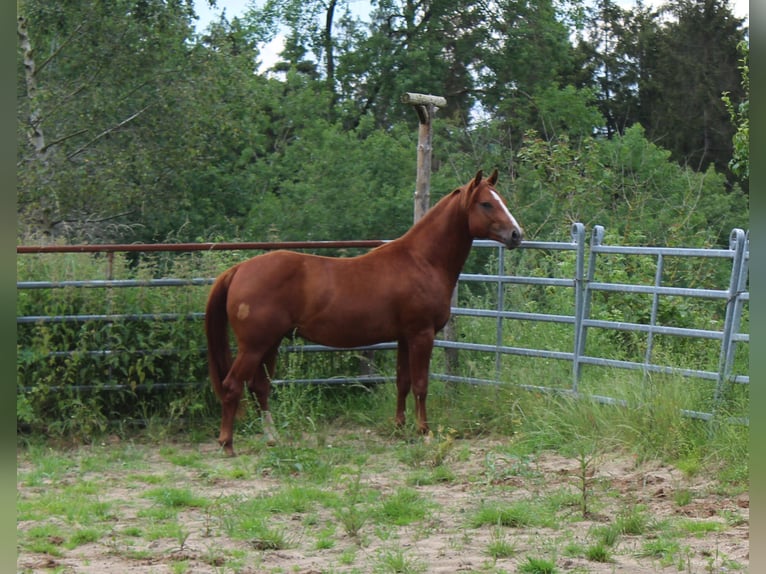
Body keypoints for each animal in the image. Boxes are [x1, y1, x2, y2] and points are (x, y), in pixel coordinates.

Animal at [207, 169, 524, 456]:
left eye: (502, 200)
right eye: (486, 203)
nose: (516, 234)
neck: (422, 261)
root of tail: (239, 270)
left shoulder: (404, 337)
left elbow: (402, 382)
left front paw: (399, 427)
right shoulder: (421, 334)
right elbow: (421, 384)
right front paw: (424, 431)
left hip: (270, 344)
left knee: (260, 387)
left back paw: (272, 439)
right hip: (254, 346)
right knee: (233, 385)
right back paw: (227, 444)